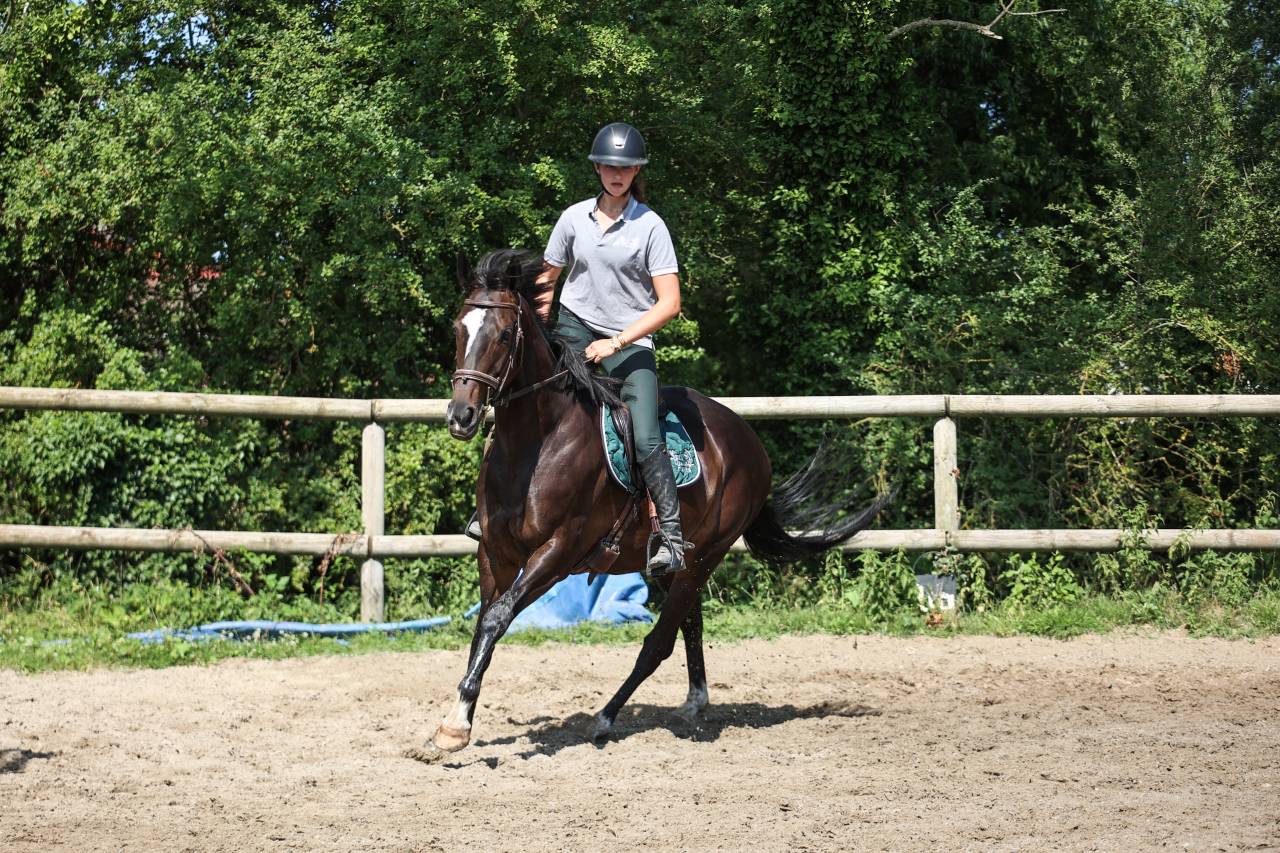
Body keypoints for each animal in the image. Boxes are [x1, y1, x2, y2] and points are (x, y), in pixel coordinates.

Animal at [431, 248, 891, 752]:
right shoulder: (494, 552)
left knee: (660, 640)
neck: (535, 444)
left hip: (704, 555)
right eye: (459, 329)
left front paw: (454, 726)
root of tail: (749, 439)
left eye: (503, 334)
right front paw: (459, 716)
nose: (461, 416)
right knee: (690, 621)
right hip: (674, 567)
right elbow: (483, 625)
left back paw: (607, 718)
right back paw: (694, 701)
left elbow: (497, 618)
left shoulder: (557, 552)